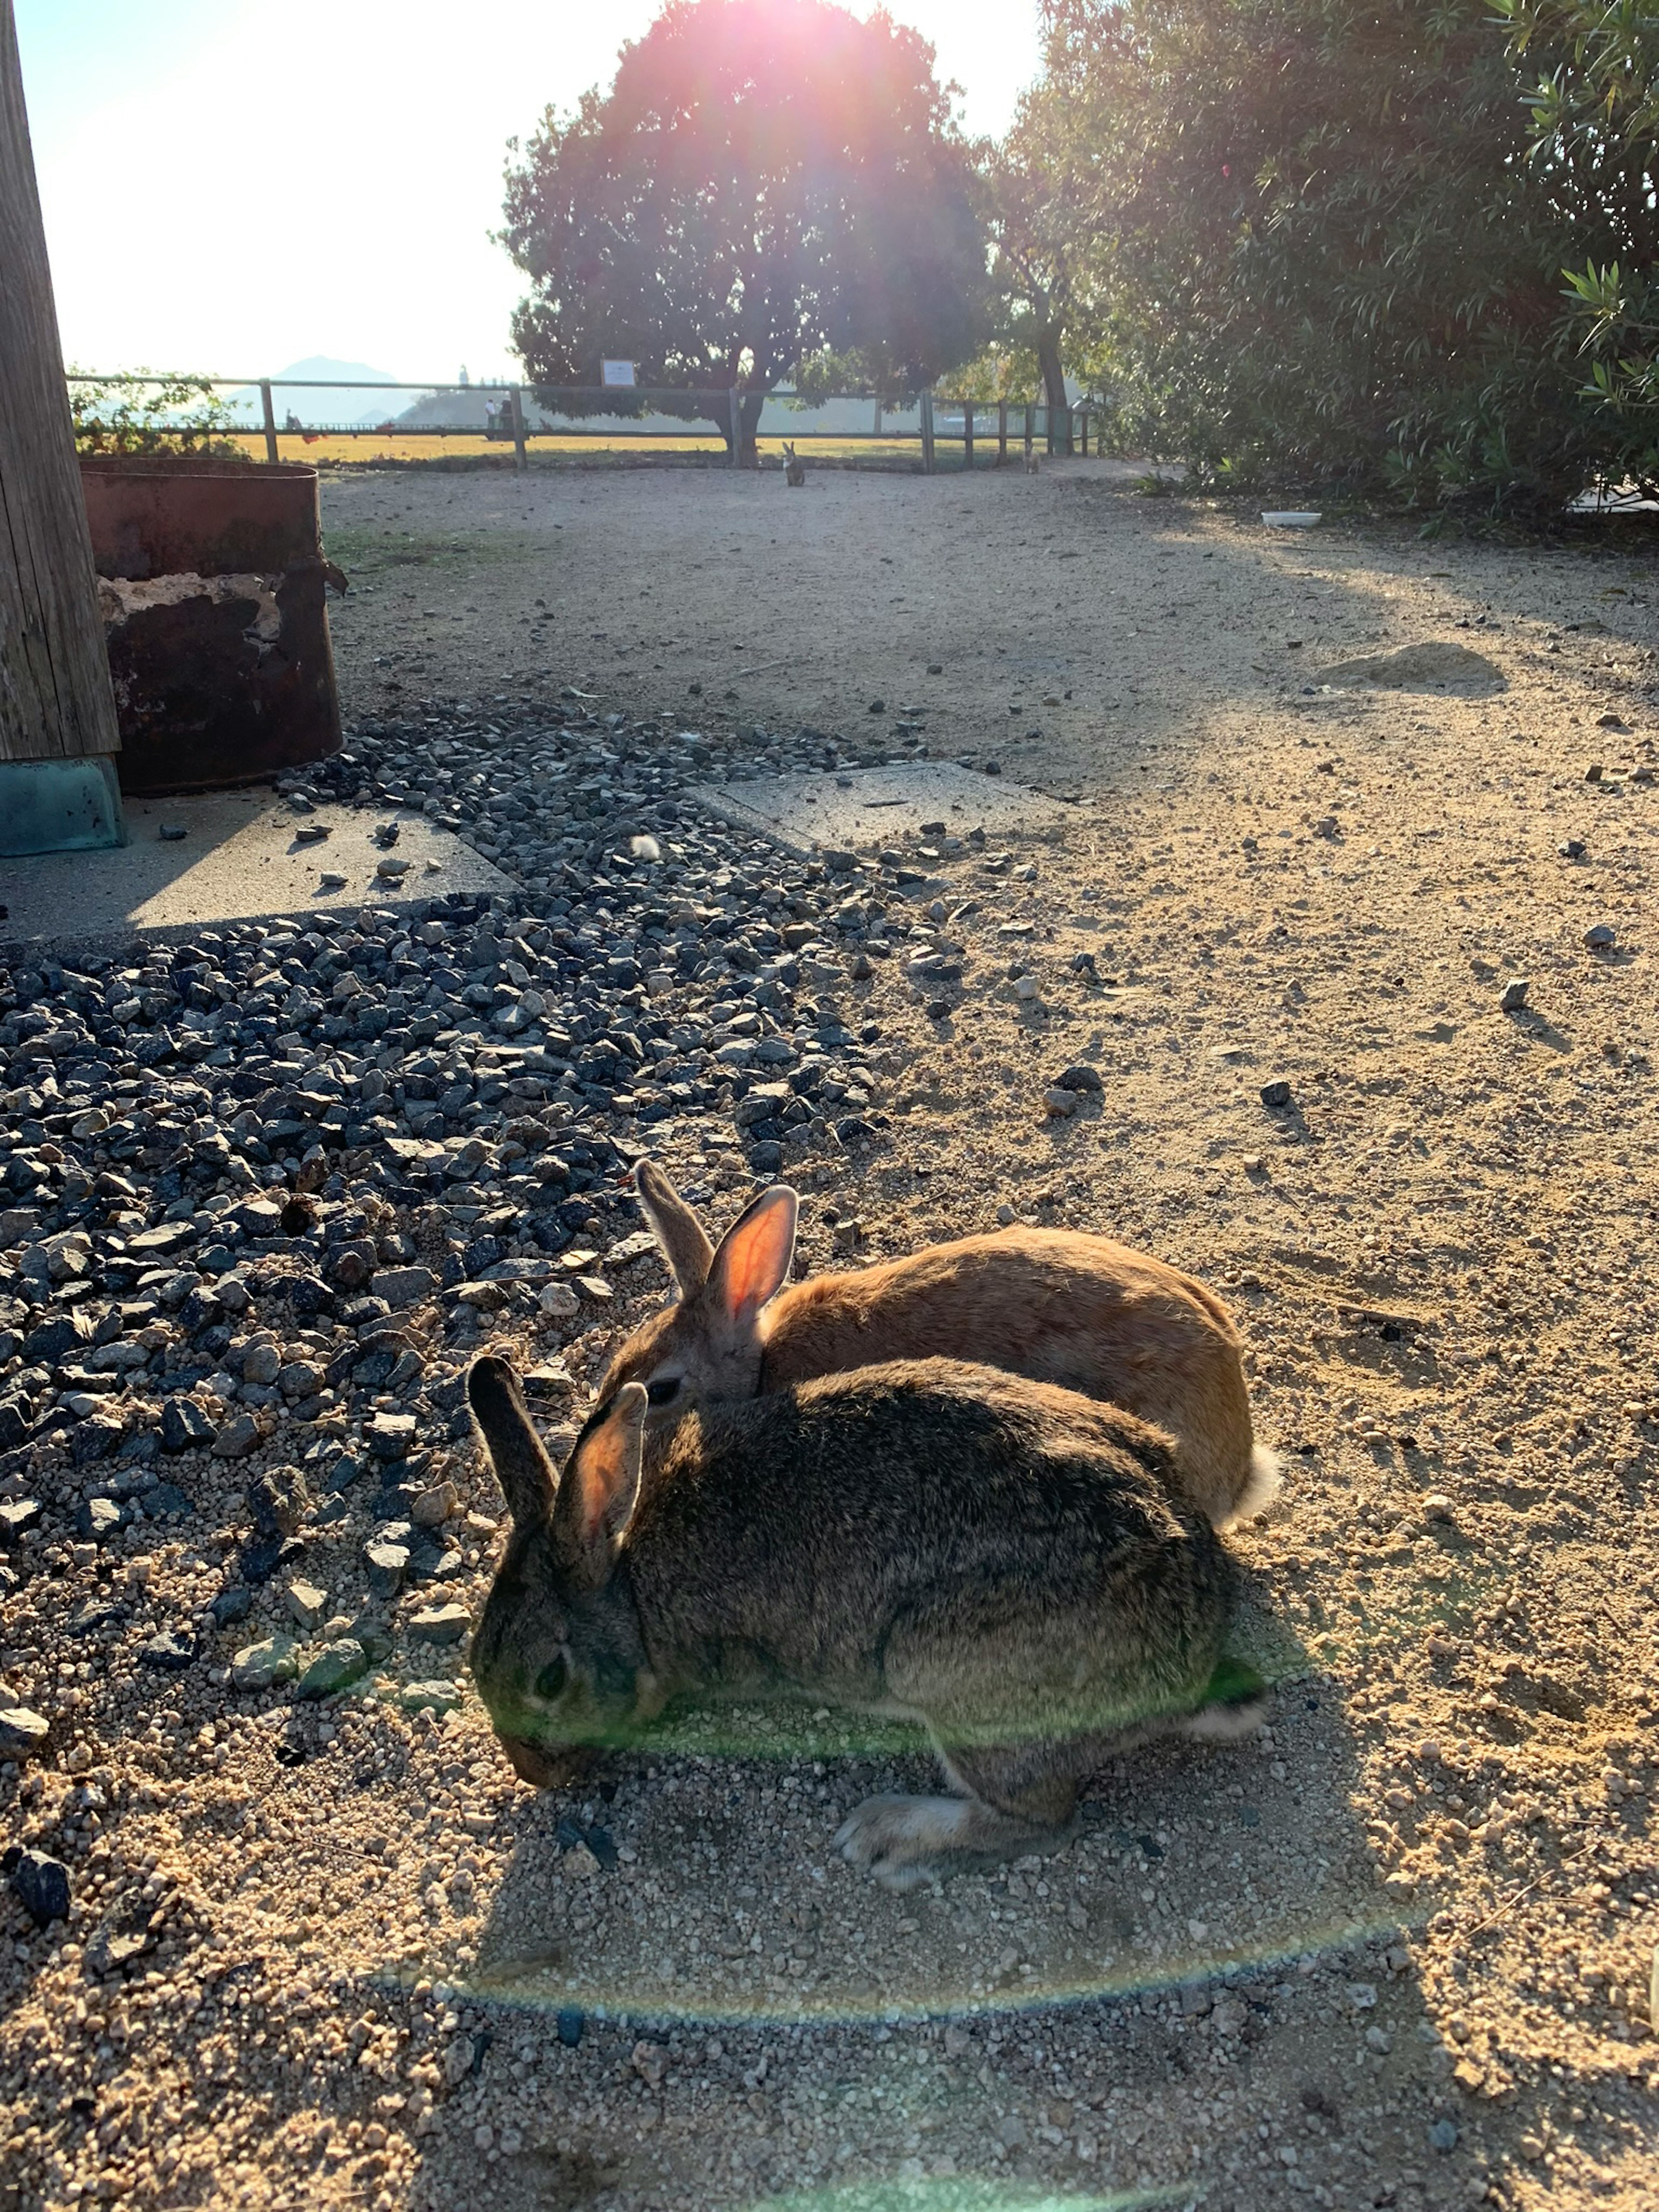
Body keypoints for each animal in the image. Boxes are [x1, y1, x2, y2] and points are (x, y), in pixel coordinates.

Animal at [464, 1344, 1256, 1885]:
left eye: (549, 1679)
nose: (534, 1773)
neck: (631, 1591)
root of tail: (1195, 1666)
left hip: (948, 1674)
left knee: (1041, 1822)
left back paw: (886, 1836)